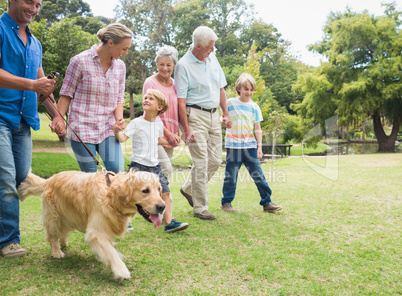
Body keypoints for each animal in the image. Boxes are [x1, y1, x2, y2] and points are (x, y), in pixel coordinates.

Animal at [17, 170, 165, 278]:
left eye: (159, 189)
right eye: (145, 190)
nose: (162, 206)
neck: (111, 197)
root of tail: (48, 180)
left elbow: (107, 247)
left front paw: (102, 257)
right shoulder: (96, 232)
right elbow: (111, 251)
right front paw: (120, 269)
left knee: (63, 232)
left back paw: (63, 242)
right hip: (54, 218)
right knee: (52, 236)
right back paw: (57, 251)